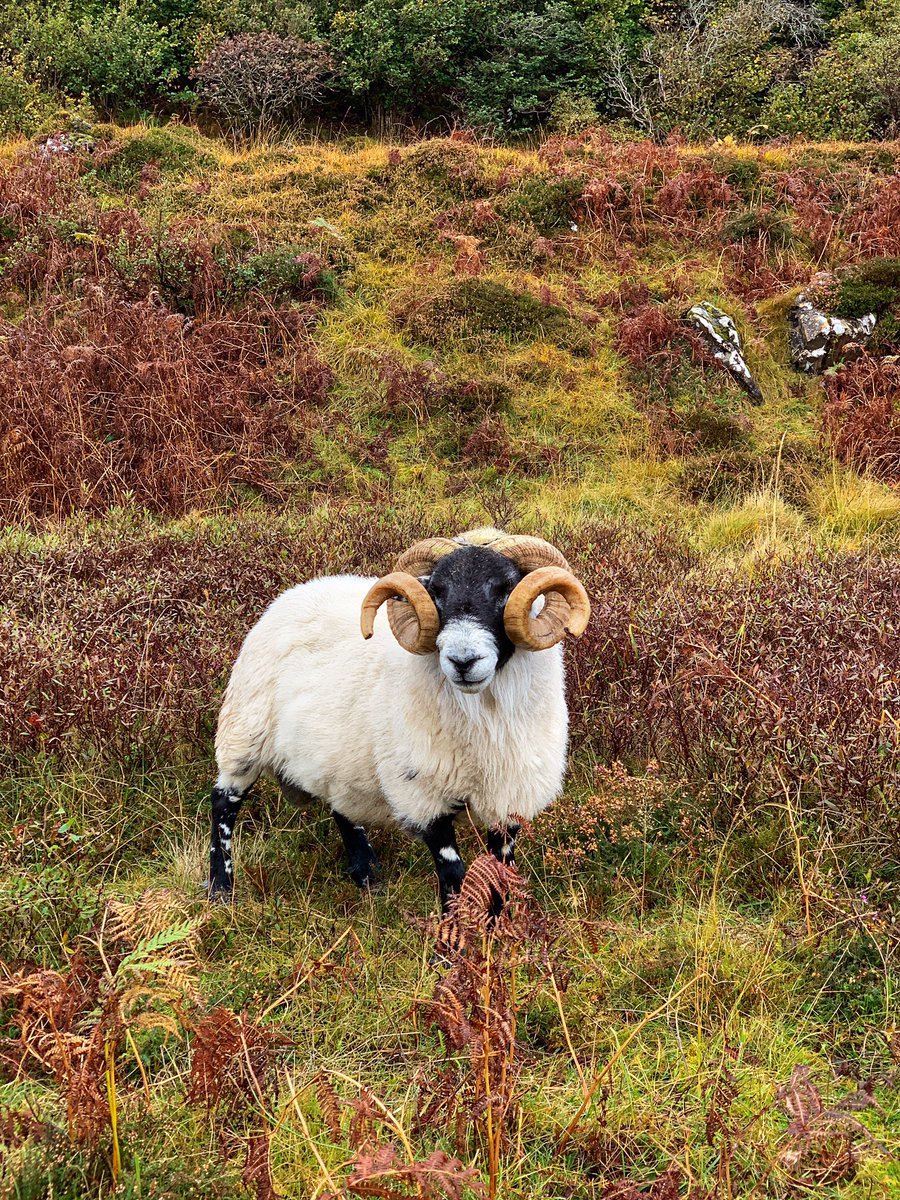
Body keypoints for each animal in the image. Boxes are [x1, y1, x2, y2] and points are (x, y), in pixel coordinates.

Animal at [207, 525, 595, 907]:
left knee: (341, 806)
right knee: (223, 802)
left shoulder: (509, 797)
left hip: (337, 754)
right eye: (436, 590)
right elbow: (453, 876)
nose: (463, 660)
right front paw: (454, 927)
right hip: (244, 732)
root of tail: (295, 592)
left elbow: (498, 874)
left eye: (506, 587)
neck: (482, 719)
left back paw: (366, 875)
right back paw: (220, 889)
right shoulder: (423, 795)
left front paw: (496, 924)